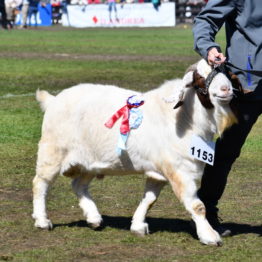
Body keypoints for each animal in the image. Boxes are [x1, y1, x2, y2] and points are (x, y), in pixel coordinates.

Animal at [32, 59, 237, 246]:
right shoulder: (179, 170)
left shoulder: (158, 172)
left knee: (78, 185)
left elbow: (150, 199)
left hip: (90, 162)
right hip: (52, 152)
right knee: (40, 183)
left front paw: (137, 226)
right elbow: (197, 206)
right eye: (200, 78)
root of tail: (53, 100)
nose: (226, 89)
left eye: (225, 72)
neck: (183, 117)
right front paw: (210, 236)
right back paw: (42, 221)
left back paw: (94, 218)